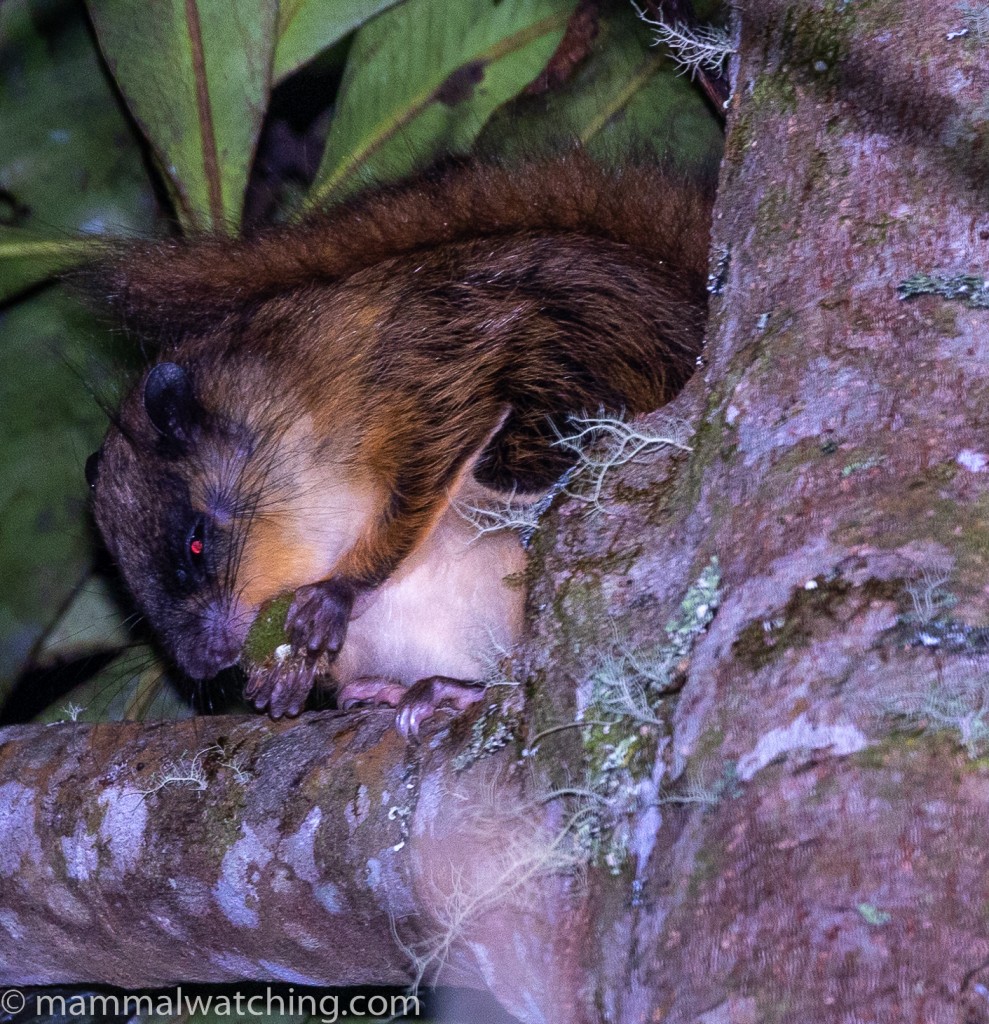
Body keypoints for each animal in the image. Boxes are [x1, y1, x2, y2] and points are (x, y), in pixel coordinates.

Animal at [84, 153, 712, 735]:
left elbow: (429, 474)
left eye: (194, 544)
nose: (204, 665)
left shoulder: (435, 367)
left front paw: (335, 596)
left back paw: (454, 691)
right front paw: (287, 676)